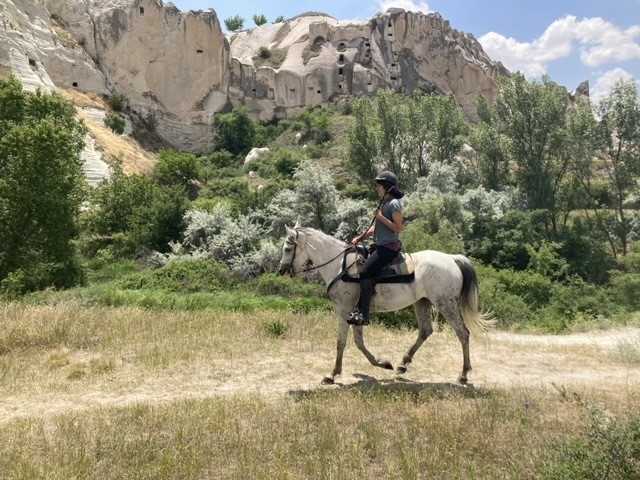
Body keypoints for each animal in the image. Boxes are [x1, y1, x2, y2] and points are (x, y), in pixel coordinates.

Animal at [278, 225, 492, 386]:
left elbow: (341, 342)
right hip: (422, 302)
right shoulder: (356, 314)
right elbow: (359, 343)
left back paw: (463, 374)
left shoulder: (344, 310)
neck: (339, 266)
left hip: (445, 304)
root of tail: (452, 258)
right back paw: (403, 364)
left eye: (288, 249)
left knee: (463, 333)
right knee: (425, 331)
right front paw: (382, 363)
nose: (282, 271)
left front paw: (332, 374)